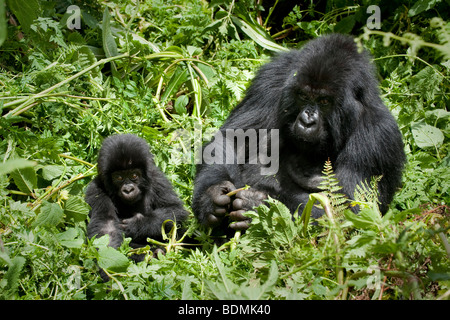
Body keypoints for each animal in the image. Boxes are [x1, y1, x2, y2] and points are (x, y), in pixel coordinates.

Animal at [192, 34, 406, 232]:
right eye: (303, 96)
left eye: (324, 101)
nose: (306, 121)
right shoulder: (270, 80)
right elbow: (231, 139)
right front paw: (210, 196)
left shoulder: (379, 136)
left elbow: (351, 213)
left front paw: (258, 206)